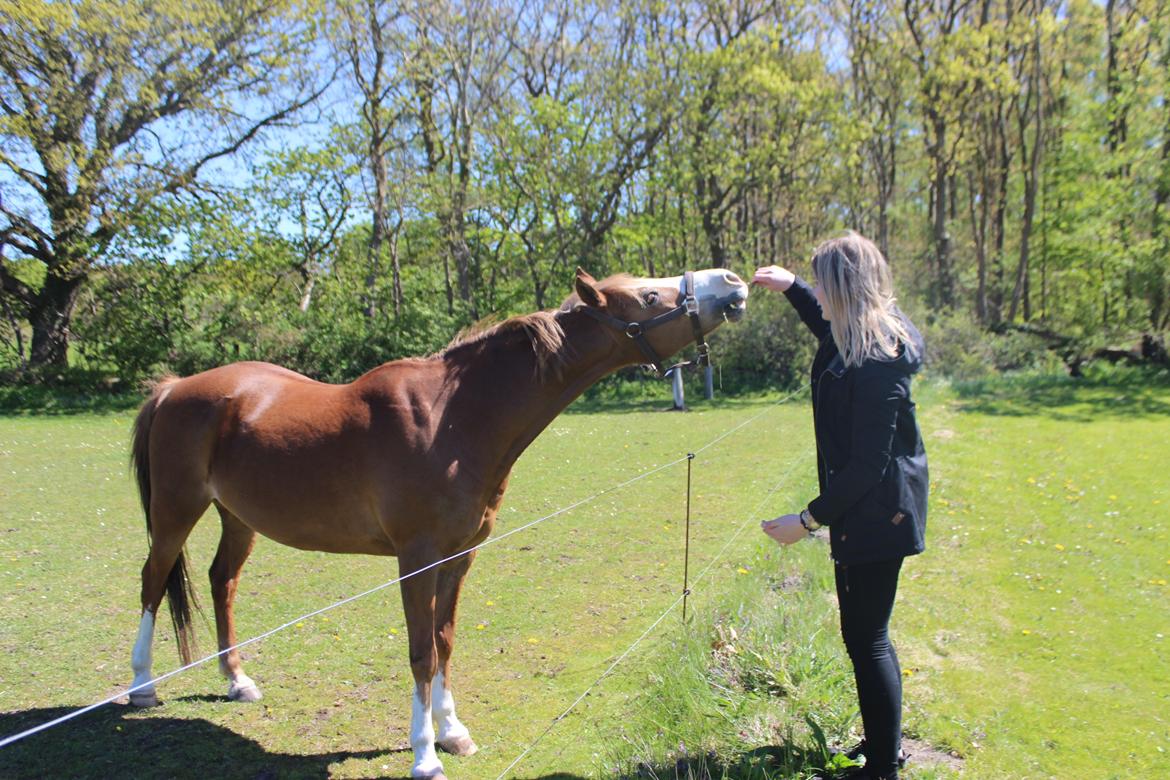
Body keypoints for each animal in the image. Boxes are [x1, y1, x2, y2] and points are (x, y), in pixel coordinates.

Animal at [125, 266, 748, 776]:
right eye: (649, 295)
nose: (733, 283)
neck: (452, 418)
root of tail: (173, 389)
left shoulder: (460, 554)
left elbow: (445, 642)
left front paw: (452, 732)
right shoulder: (417, 558)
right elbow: (421, 651)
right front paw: (424, 755)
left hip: (237, 517)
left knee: (221, 582)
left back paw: (237, 681)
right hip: (176, 510)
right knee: (153, 582)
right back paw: (142, 686)